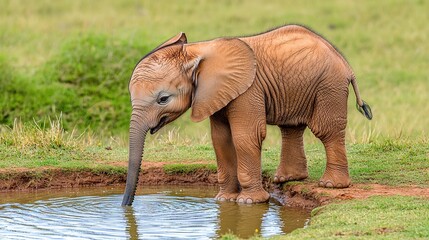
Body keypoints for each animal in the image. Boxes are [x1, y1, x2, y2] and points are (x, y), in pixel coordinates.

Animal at [121, 24, 372, 205]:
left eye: (163, 99)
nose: (126, 206)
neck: (196, 51)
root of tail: (345, 63)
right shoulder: (216, 93)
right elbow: (221, 139)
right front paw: (224, 200)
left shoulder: (247, 90)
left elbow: (245, 136)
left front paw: (249, 202)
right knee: (291, 127)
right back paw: (287, 179)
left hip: (329, 85)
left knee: (326, 130)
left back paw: (331, 186)